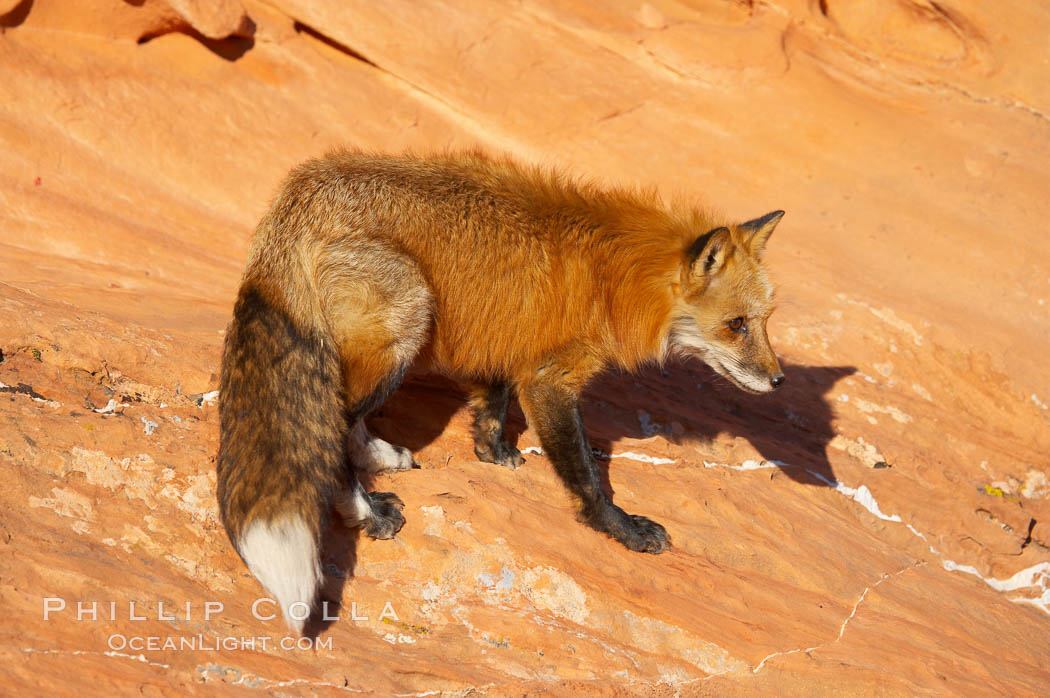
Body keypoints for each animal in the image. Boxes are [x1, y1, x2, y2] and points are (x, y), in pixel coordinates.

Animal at [217, 150, 785, 629]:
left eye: (764, 321)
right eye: (736, 324)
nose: (779, 379)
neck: (615, 281)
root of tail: (297, 194)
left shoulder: (498, 341)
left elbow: (491, 405)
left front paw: (492, 453)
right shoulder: (551, 379)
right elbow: (585, 476)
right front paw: (621, 530)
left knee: (345, 425)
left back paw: (380, 457)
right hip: (408, 320)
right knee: (333, 430)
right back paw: (367, 513)